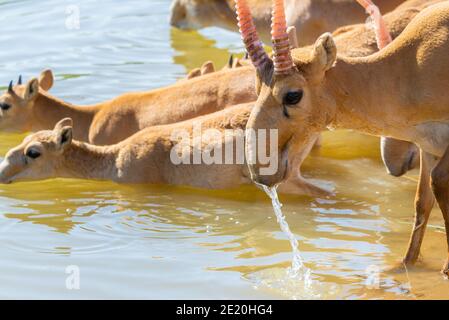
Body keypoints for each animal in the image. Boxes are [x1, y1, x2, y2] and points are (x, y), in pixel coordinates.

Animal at [238, 0, 449, 276]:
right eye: (256, 87)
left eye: (293, 95)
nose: (260, 169)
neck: (412, 63)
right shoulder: (429, 146)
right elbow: (422, 201)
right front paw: (405, 265)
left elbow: (440, 183)